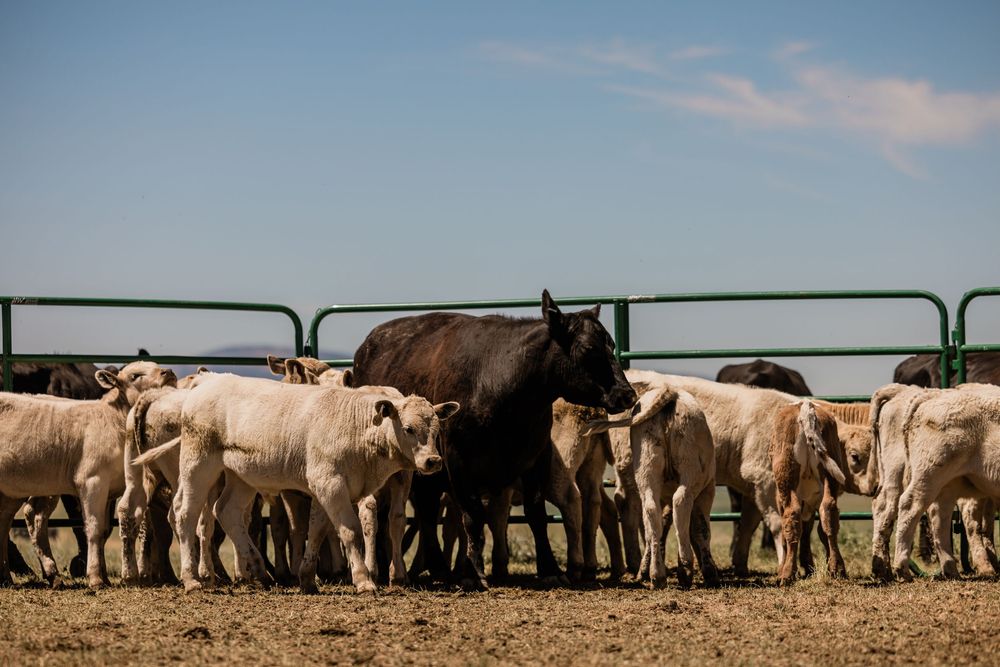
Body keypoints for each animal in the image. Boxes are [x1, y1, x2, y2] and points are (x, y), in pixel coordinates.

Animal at [0, 361, 176, 587]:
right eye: (135, 376)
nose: (168, 372)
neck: (114, 421)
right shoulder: (93, 481)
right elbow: (93, 527)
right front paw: (95, 577)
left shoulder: (111, 489)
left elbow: (104, 531)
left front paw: (104, 577)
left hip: (18, 488)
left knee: (14, 519)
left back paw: (15, 575)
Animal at [161, 373, 458, 593]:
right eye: (408, 428)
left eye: (436, 430)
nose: (433, 461)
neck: (356, 426)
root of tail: (207, 380)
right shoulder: (331, 484)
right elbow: (349, 530)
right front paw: (363, 581)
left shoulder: (323, 488)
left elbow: (316, 530)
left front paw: (306, 579)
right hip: (198, 464)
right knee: (186, 514)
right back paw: (192, 580)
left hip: (241, 475)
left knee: (227, 511)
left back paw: (259, 571)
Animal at [352, 290, 636, 589]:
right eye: (588, 349)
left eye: (611, 345)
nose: (626, 394)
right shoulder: (457, 463)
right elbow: (473, 516)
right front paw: (474, 571)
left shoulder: (537, 457)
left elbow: (536, 514)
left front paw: (549, 568)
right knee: (425, 513)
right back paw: (433, 566)